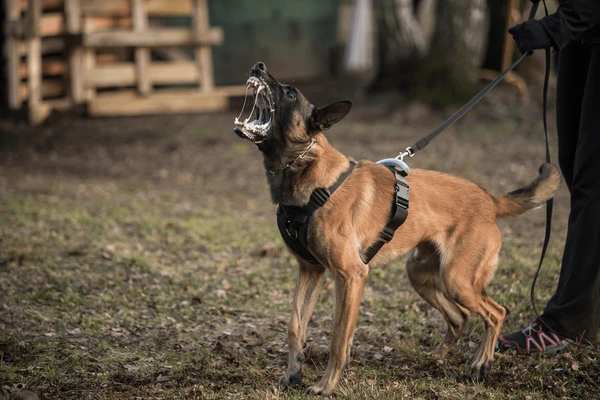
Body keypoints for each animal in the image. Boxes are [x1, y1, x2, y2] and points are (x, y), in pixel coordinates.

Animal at [233, 61, 556, 396]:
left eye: (290, 93)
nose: (259, 66)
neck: (308, 172)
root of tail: (490, 199)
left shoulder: (351, 276)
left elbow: (338, 339)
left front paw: (326, 386)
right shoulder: (311, 270)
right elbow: (295, 326)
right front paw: (293, 374)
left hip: (457, 280)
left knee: (496, 312)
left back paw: (481, 363)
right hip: (421, 274)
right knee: (461, 316)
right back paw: (438, 357)